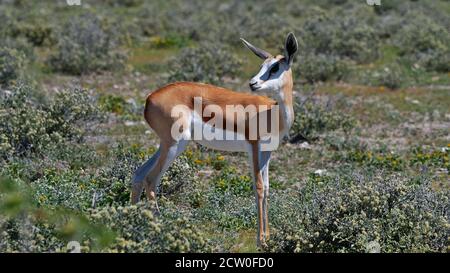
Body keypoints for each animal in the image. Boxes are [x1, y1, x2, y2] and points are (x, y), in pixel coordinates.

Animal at [131, 33, 298, 245]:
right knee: (151, 179)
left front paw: (267, 236)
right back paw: (160, 229)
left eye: (275, 67)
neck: (272, 113)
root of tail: (149, 98)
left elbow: (267, 188)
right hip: (175, 144)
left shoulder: (267, 152)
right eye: (263, 65)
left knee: (138, 174)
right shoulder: (254, 148)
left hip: (167, 144)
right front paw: (261, 240)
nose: (253, 83)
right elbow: (259, 187)